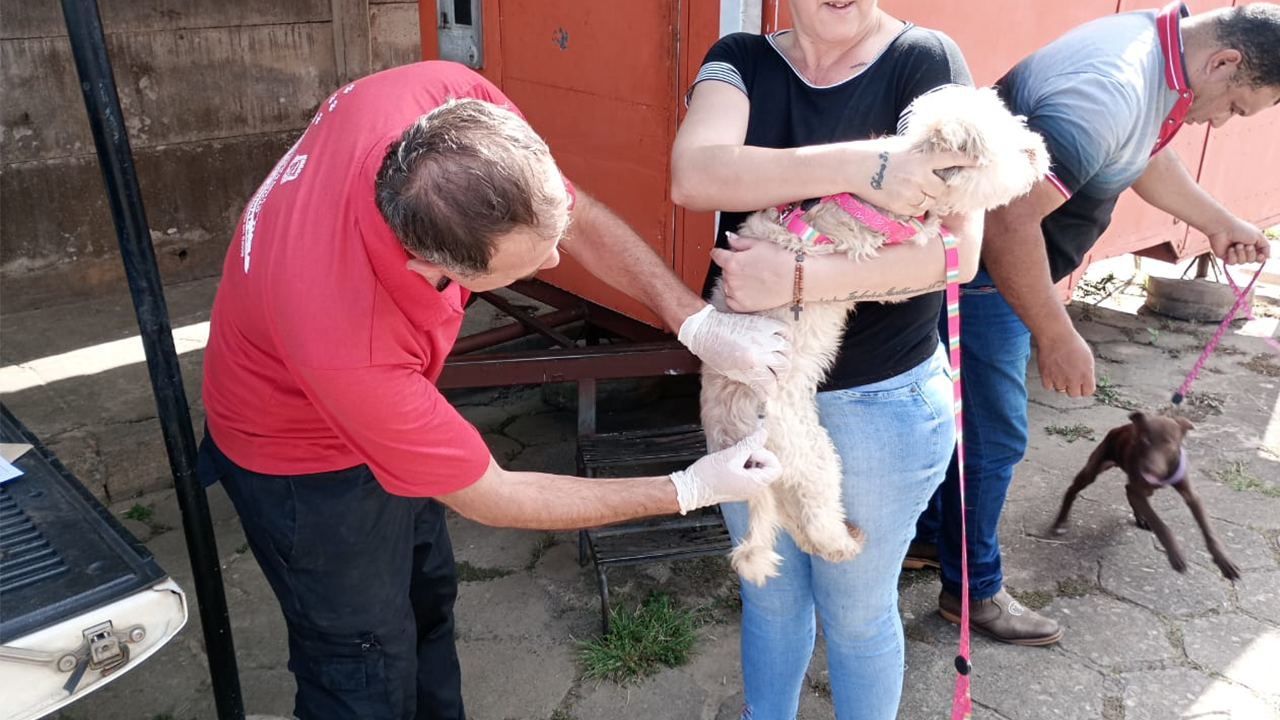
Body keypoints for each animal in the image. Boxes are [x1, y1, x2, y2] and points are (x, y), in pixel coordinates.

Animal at [701, 85, 1049, 584]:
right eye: (1010, 147)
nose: (1039, 150)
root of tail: (734, 436)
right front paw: (934, 223)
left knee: (794, 523)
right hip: (818, 458)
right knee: (815, 520)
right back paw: (847, 543)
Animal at [1049, 409, 1239, 576]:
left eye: (1169, 444)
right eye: (1144, 441)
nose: (1149, 471)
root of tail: (1119, 428)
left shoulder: (1191, 495)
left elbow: (1208, 529)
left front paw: (1224, 561)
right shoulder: (1140, 490)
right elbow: (1160, 524)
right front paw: (1175, 555)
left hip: (1142, 488)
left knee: (1128, 490)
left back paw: (1140, 518)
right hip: (1095, 468)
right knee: (1073, 490)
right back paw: (1060, 522)